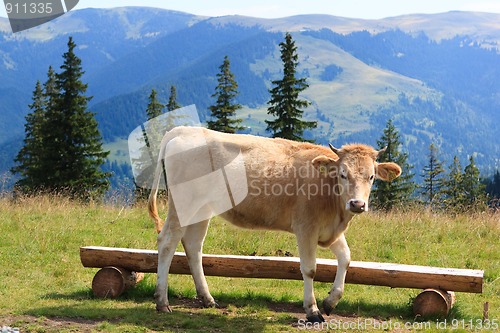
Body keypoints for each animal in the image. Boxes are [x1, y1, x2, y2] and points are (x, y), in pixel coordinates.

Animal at [146, 126, 400, 320]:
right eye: (343, 174)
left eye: (371, 176)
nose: (357, 204)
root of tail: (184, 129)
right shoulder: (306, 228)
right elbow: (309, 269)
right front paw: (313, 310)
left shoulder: (329, 230)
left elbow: (346, 258)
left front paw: (330, 301)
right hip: (183, 204)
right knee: (167, 242)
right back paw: (162, 301)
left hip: (202, 208)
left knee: (193, 245)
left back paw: (207, 299)